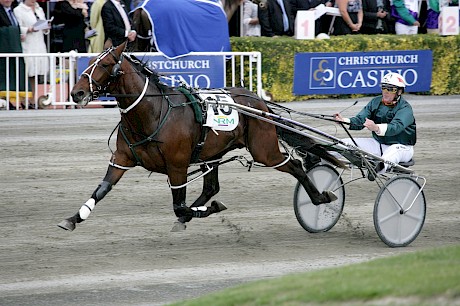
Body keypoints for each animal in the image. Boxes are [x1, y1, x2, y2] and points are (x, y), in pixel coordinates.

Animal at [57, 40, 344, 232]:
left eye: (105, 64)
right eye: (89, 62)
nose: (77, 93)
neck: (151, 112)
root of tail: (258, 101)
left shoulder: (177, 165)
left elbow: (179, 204)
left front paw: (212, 208)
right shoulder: (122, 158)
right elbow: (102, 189)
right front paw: (73, 218)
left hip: (264, 149)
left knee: (294, 165)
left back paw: (320, 197)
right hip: (213, 153)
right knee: (211, 187)